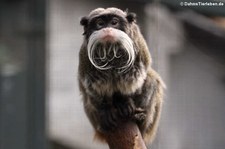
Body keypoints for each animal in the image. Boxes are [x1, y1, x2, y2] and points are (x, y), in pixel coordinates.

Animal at [78, 7, 164, 144]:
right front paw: (106, 110)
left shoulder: (139, 45)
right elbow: (91, 88)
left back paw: (139, 119)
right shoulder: (85, 55)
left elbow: (140, 76)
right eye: (100, 23)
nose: (107, 29)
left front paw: (122, 101)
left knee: (152, 80)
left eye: (114, 22)